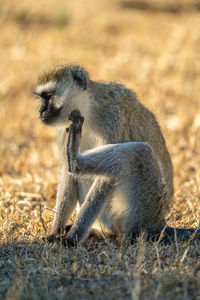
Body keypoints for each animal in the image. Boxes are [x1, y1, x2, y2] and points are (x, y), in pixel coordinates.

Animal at [34, 63, 198, 244]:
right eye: (41, 98)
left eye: (48, 96)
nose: (41, 111)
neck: (88, 110)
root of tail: (159, 226)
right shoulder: (63, 129)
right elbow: (67, 175)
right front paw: (55, 233)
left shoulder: (114, 118)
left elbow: (106, 179)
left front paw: (73, 237)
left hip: (144, 210)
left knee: (137, 153)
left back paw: (75, 160)